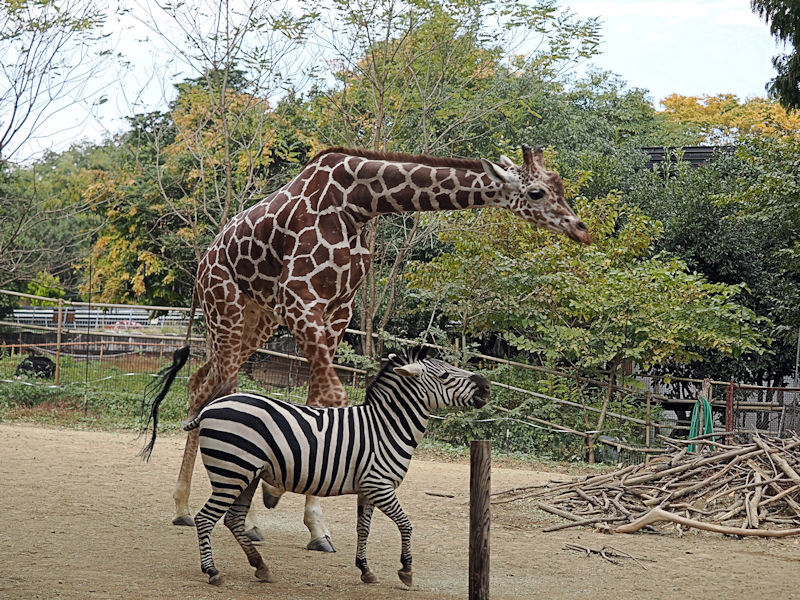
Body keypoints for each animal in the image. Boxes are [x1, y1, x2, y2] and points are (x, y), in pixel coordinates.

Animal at [144, 346, 488, 584]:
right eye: (444, 376)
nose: (485, 385)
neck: (385, 427)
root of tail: (211, 407)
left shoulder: (368, 488)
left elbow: (363, 529)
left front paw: (365, 570)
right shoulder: (380, 485)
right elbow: (405, 524)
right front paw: (405, 570)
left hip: (247, 474)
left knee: (233, 520)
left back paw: (261, 566)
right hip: (232, 473)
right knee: (205, 519)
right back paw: (213, 571)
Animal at [156, 144, 588, 552]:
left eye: (561, 186)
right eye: (536, 192)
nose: (581, 229)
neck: (359, 201)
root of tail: (203, 261)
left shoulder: (338, 308)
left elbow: (320, 398)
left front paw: (316, 527)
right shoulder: (299, 298)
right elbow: (334, 395)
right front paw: (279, 492)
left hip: (257, 318)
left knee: (200, 382)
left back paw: (192, 509)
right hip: (225, 306)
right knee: (223, 386)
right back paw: (214, 514)